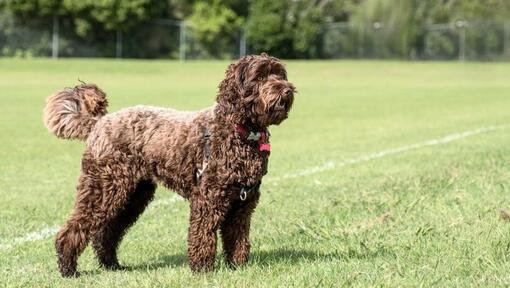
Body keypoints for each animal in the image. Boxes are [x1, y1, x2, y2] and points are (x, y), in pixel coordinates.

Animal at [45, 53, 296, 276]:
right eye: (260, 77)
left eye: (279, 74)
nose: (287, 90)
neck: (239, 132)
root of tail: (98, 122)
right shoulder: (207, 199)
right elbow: (202, 235)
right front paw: (202, 269)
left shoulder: (243, 203)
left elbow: (237, 237)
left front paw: (237, 266)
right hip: (103, 189)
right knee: (74, 230)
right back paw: (68, 268)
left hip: (133, 195)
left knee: (106, 233)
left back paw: (112, 265)